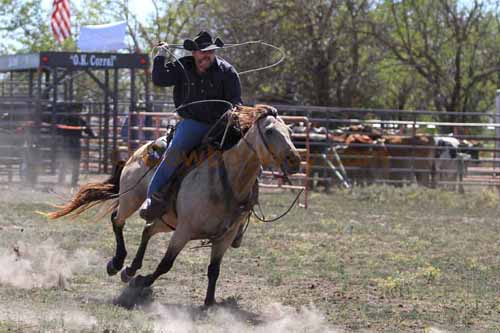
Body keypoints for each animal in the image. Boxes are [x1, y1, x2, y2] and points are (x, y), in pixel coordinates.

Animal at [46, 105, 300, 304]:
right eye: (269, 131)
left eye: (289, 132)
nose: (294, 159)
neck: (228, 179)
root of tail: (140, 149)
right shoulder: (184, 231)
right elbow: (165, 264)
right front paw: (141, 282)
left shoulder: (224, 238)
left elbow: (214, 270)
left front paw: (209, 303)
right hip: (132, 199)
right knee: (117, 220)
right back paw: (117, 263)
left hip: (167, 220)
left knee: (147, 230)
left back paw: (130, 269)